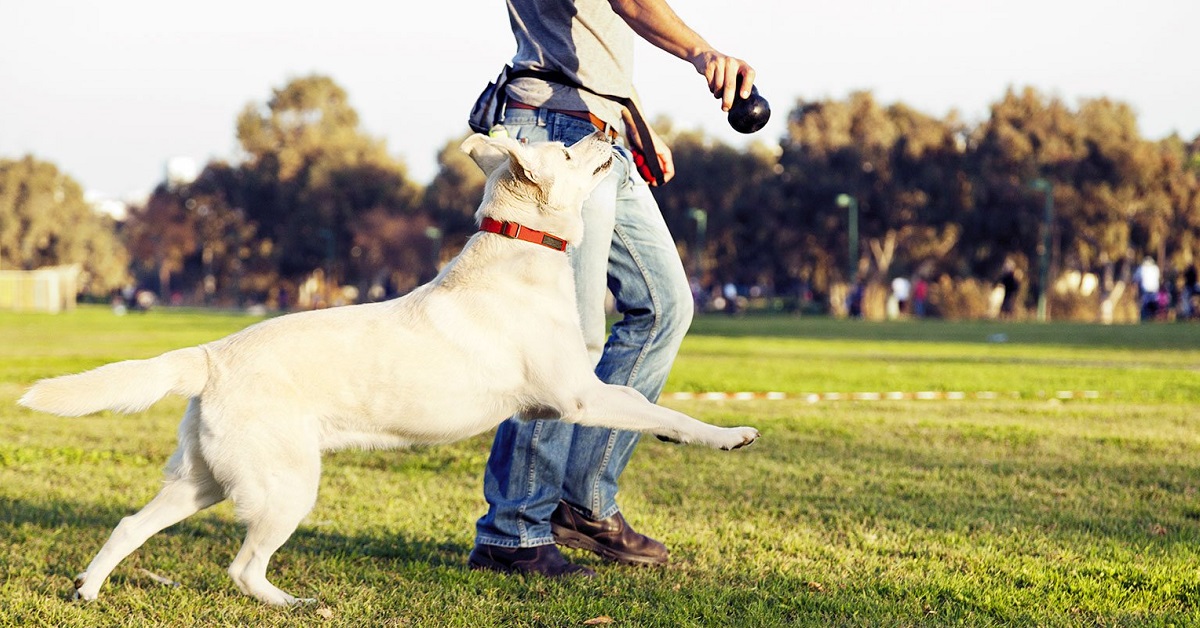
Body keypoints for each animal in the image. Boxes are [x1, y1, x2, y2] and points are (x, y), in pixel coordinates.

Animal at [18, 131, 758, 605]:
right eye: (571, 151)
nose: (609, 131)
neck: (520, 251)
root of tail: (211, 355)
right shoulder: (579, 396)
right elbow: (661, 411)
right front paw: (729, 435)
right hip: (285, 487)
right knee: (242, 567)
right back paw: (293, 604)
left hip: (203, 481)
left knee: (129, 525)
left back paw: (88, 589)